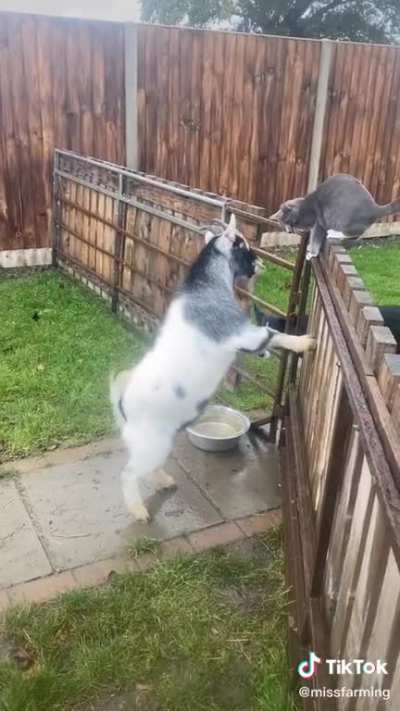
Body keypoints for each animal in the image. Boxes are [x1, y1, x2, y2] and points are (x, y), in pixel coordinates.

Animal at [111, 215, 317, 522]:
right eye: (243, 246)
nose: (261, 264)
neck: (206, 286)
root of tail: (122, 400)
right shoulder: (239, 330)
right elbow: (272, 334)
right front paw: (304, 342)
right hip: (150, 438)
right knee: (128, 473)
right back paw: (138, 510)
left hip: (158, 438)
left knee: (149, 465)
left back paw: (164, 481)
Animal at [270, 174, 400, 260]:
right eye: (282, 225)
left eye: (287, 221)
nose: (289, 231)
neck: (305, 207)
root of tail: (375, 208)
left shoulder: (318, 223)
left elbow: (315, 238)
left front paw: (312, 253)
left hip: (342, 217)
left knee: (354, 231)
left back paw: (333, 232)